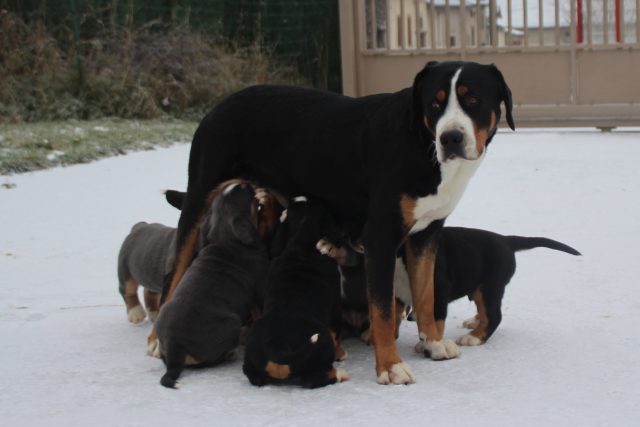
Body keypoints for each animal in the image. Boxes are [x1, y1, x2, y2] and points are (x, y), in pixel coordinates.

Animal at [154, 182, 268, 390]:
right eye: (245, 191)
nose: (248, 182)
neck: (224, 238)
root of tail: (175, 347)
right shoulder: (259, 287)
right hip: (231, 323)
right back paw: (229, 354)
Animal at [241, 199, 350, 390]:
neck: (301, 243)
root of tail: (277, 348)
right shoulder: (335, 307)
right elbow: (336, 333)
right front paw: (341, 353)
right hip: (321, 342)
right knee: (312, 379)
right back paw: (340, 374)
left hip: (250, 361)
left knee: (254, 377)